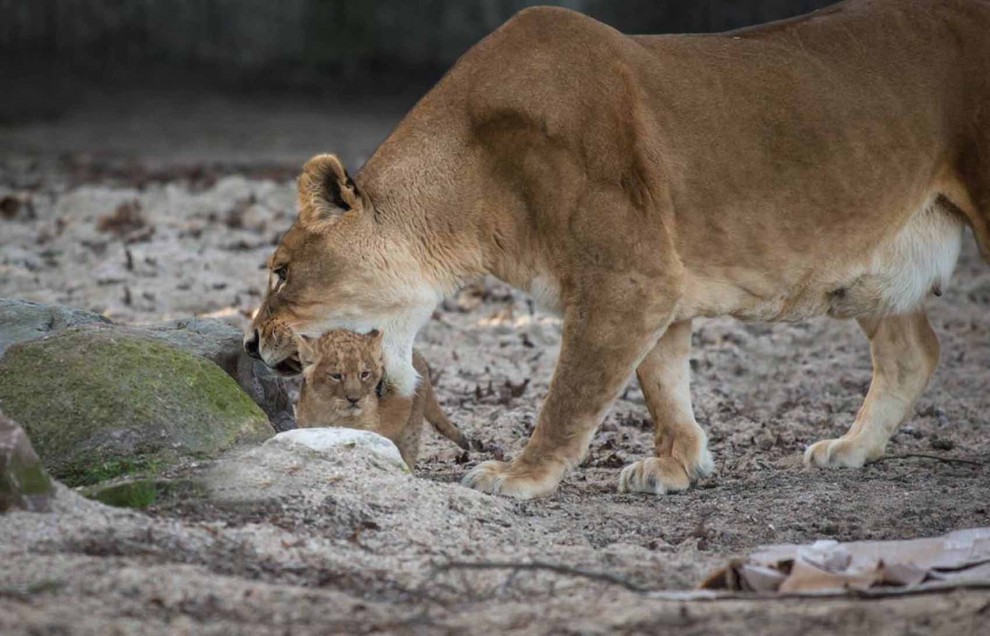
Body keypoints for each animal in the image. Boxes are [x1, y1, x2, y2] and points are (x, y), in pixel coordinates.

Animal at [293, 329, 469, 467]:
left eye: (364, 374)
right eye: (336, 376)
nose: (354, 399)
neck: (330, 413)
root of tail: (418, 355)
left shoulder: (367, 430)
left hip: (411, 428)